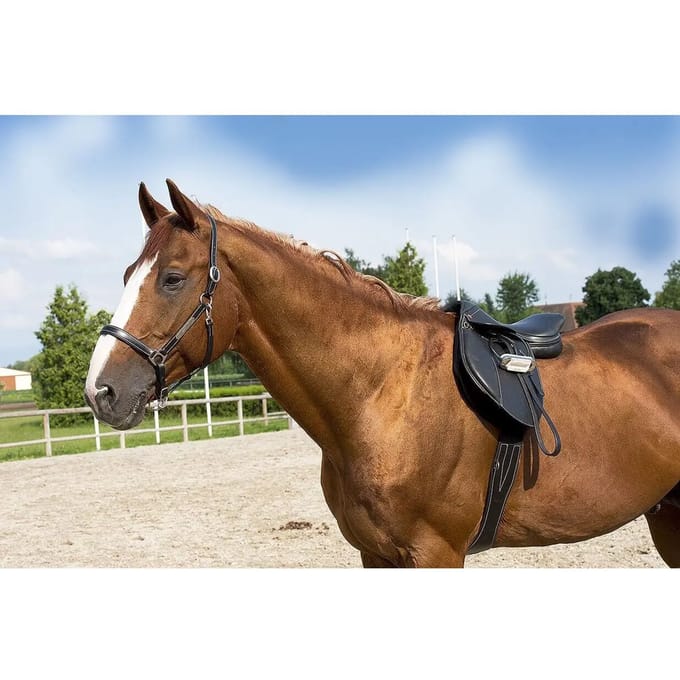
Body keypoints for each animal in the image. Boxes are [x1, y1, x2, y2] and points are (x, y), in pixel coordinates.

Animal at [85, 179, 680, 568]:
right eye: (127, 274)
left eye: (172, 278)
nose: (101, 391)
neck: (382, 395)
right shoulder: (376, 555)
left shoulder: (436, 554)